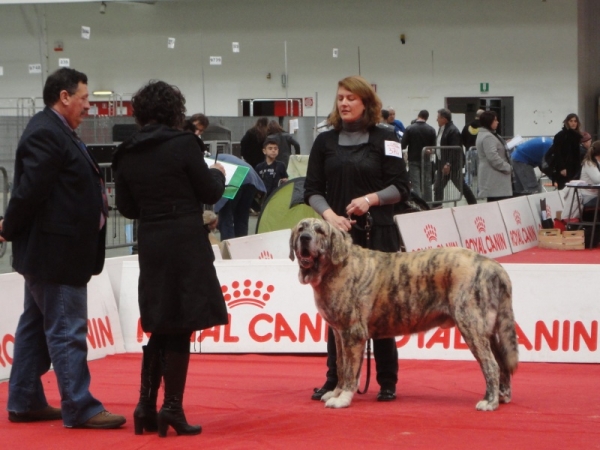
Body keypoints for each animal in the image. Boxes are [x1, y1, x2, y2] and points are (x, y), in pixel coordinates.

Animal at [288, 218, 516, 412]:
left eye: (320, 231)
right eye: (301, 228)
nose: (305, 238)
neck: (334, 267)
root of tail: (492, 265)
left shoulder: (352, 333)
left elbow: (351, 371)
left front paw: (342, 399)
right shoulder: (339, 333)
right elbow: (341, 366)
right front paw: (335, 393)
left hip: (471, 326)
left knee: (491, 365)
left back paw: (490, 402)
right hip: (488, 331)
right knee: (502, 363)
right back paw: (502, 396)